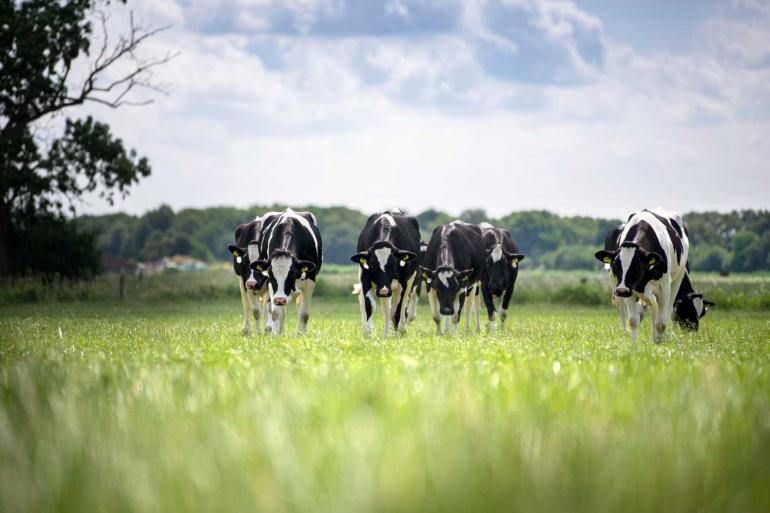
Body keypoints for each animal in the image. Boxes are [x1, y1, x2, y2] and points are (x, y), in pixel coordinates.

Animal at [594, 208, 689, 342]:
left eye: (637, 267)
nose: (621, 291)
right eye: (615, 266)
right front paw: (634, 344)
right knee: (649, 308)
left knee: (668, 310)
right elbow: (633, 320)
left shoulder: (664, 288)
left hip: (677, 279)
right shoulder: (629, 289)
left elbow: (661, 323)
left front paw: (661, 343)